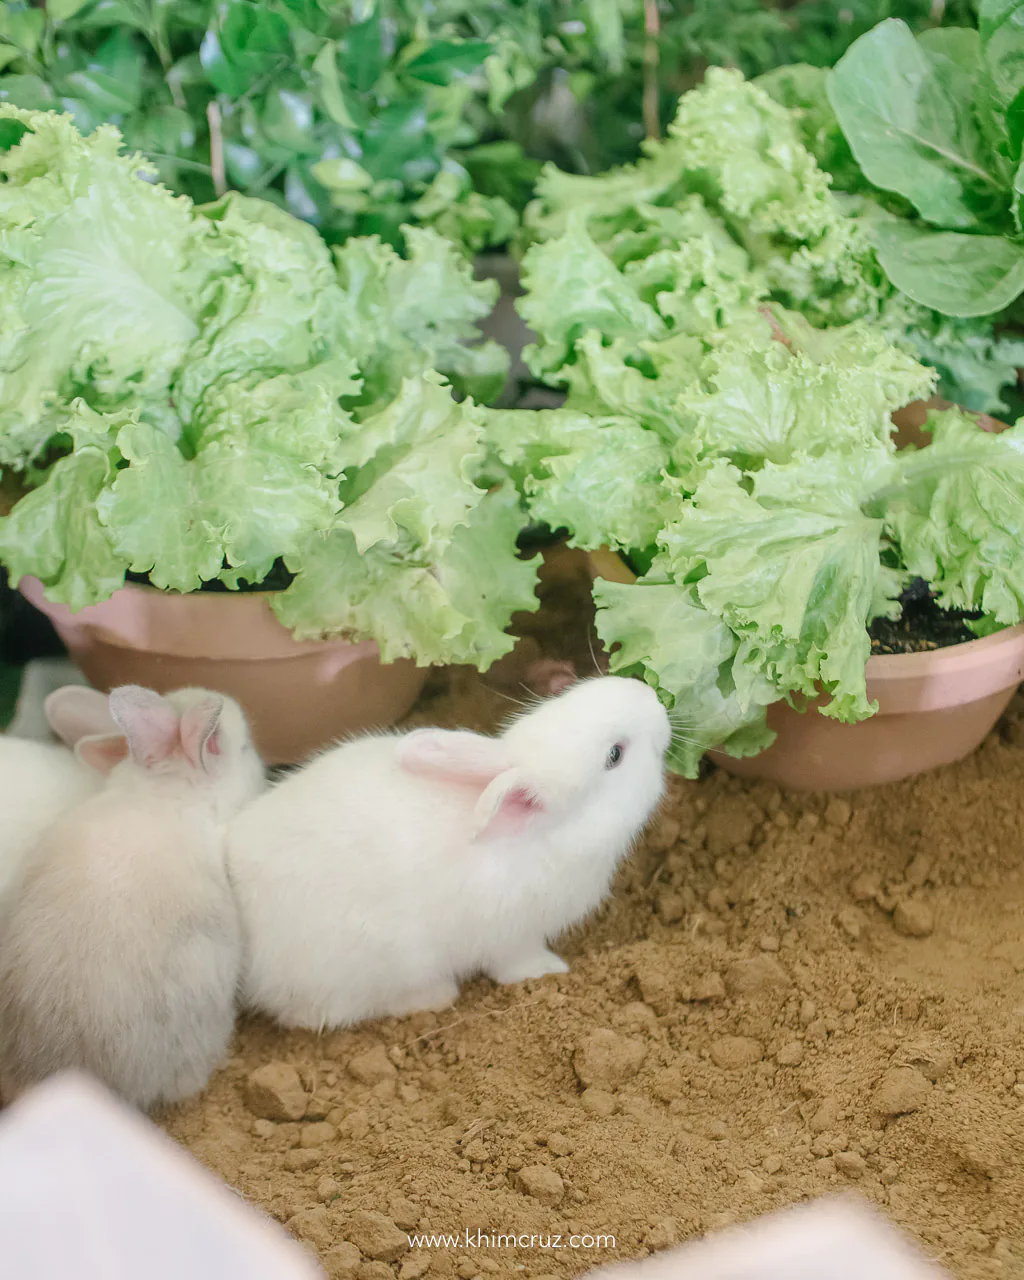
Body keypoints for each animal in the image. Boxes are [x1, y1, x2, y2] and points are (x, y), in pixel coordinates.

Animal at [226, 680, 670, 1029]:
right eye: (615, 755)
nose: (649, 694)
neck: (549, 837)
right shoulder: (512, 937)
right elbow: (515, 965)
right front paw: (549, 970)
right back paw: (434, 996)